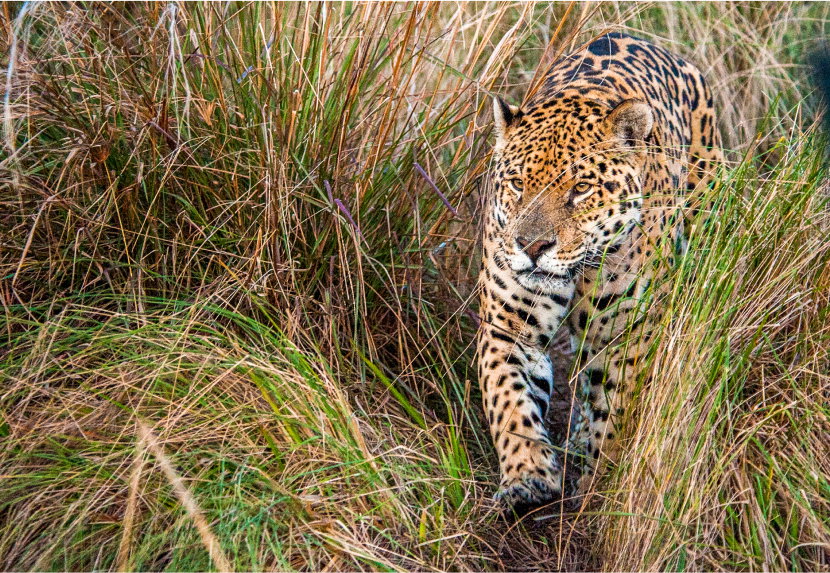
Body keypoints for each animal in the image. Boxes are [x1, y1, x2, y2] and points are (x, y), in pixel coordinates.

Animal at [477, 32, 723, 514]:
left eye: (581, 189)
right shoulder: (506, 325)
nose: (531, 247)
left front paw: (598, 485)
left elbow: (615, 410)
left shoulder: (628, 333)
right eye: (517, 184)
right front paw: (527, 476)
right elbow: (507, 396)